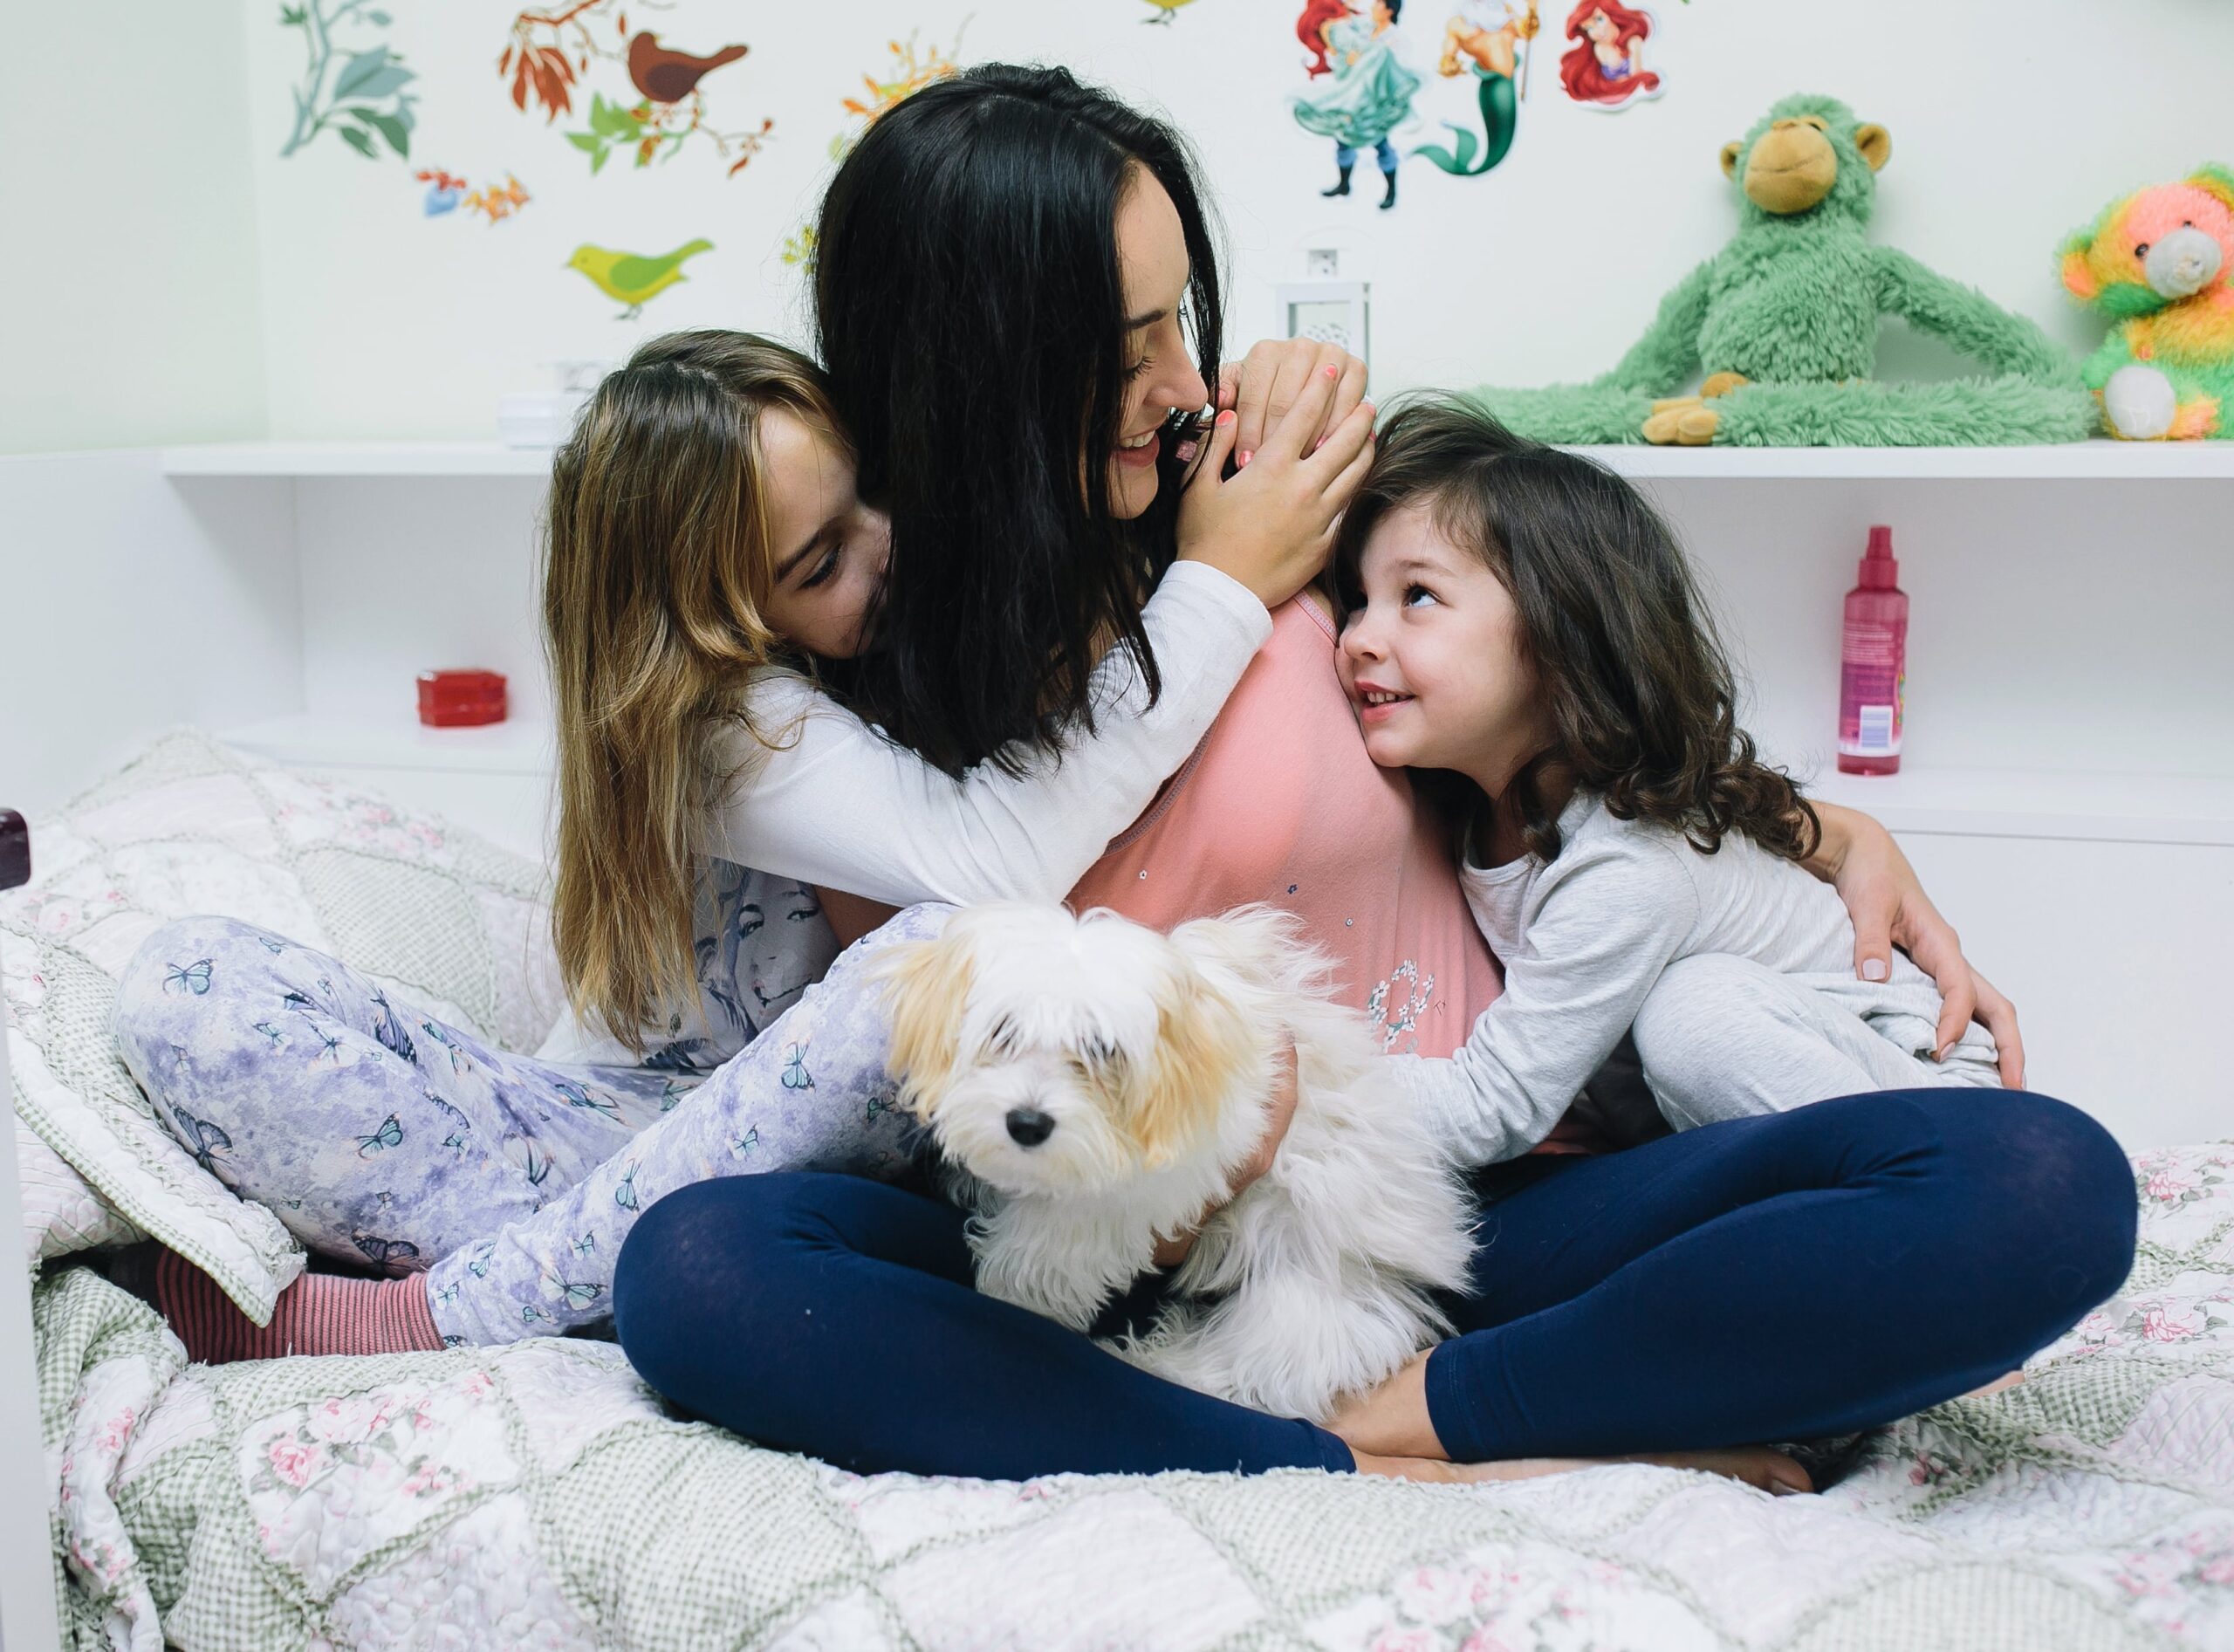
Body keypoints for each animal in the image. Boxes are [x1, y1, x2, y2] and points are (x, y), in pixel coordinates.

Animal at [875, 902, 1483, 1422]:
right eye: (1003, 1032)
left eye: (1103, 1049)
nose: (1027, 1123)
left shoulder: (1141, 1185)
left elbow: (1048, 1250)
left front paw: (1015, 1299)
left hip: (1301, 1280)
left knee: (1268, 1365)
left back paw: (1147, 1357)